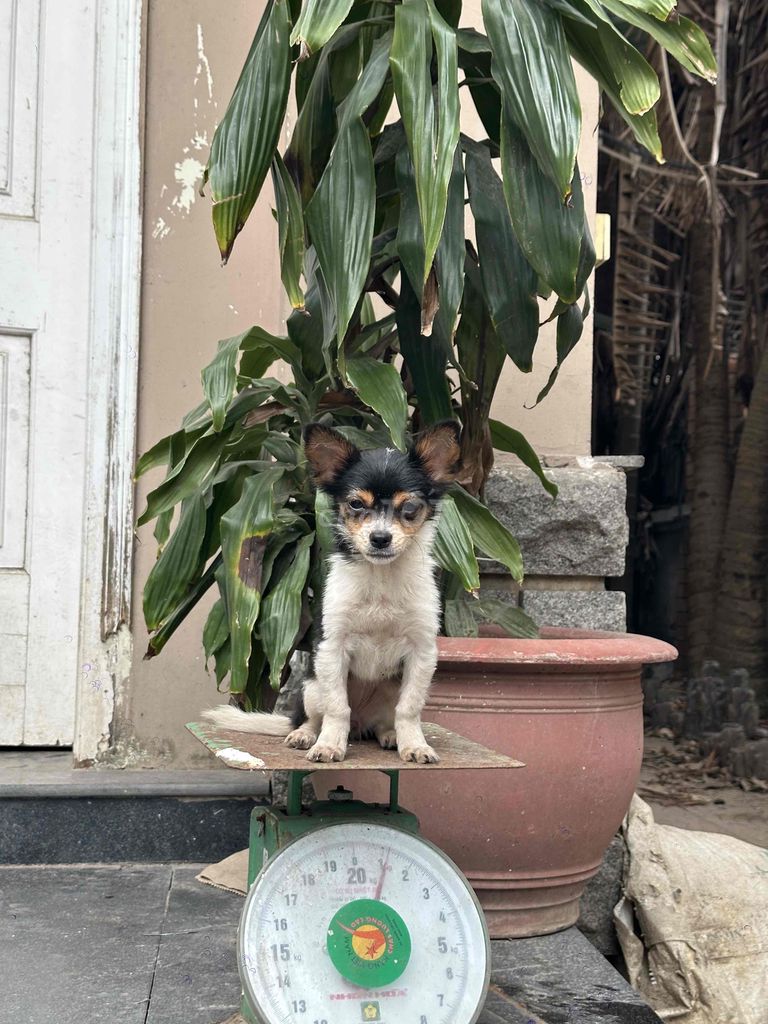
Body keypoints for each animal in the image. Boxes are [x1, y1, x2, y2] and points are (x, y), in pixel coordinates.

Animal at [201, 419, 462, 765]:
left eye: (409, 507)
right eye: (356, 504)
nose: (380, 538)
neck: (380, 578)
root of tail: (362, 725)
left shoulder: (422, 652)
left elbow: (409, 709)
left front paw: (415, 746)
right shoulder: (332, 648)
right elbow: (338, 708)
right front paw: (328, 746)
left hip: (388, 689)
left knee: (385, 720)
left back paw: (390, 735)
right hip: (312, 686)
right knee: (317, 716)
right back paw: (305, 734)